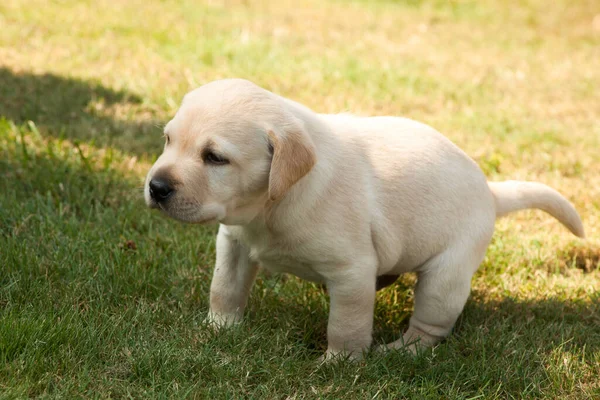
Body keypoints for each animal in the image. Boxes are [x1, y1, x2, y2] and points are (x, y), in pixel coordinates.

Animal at [143, 78, 584, 360]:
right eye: (167, 140)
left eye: (215, 158)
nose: (156, 187)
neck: (269, 205)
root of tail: (490, 193)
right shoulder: (233, 243)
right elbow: (224, 289)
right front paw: (218, 329)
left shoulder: (351, 270)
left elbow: (347, 324)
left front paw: (340, 363)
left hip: (446, 274)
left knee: (431, 325)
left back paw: (399, 353)